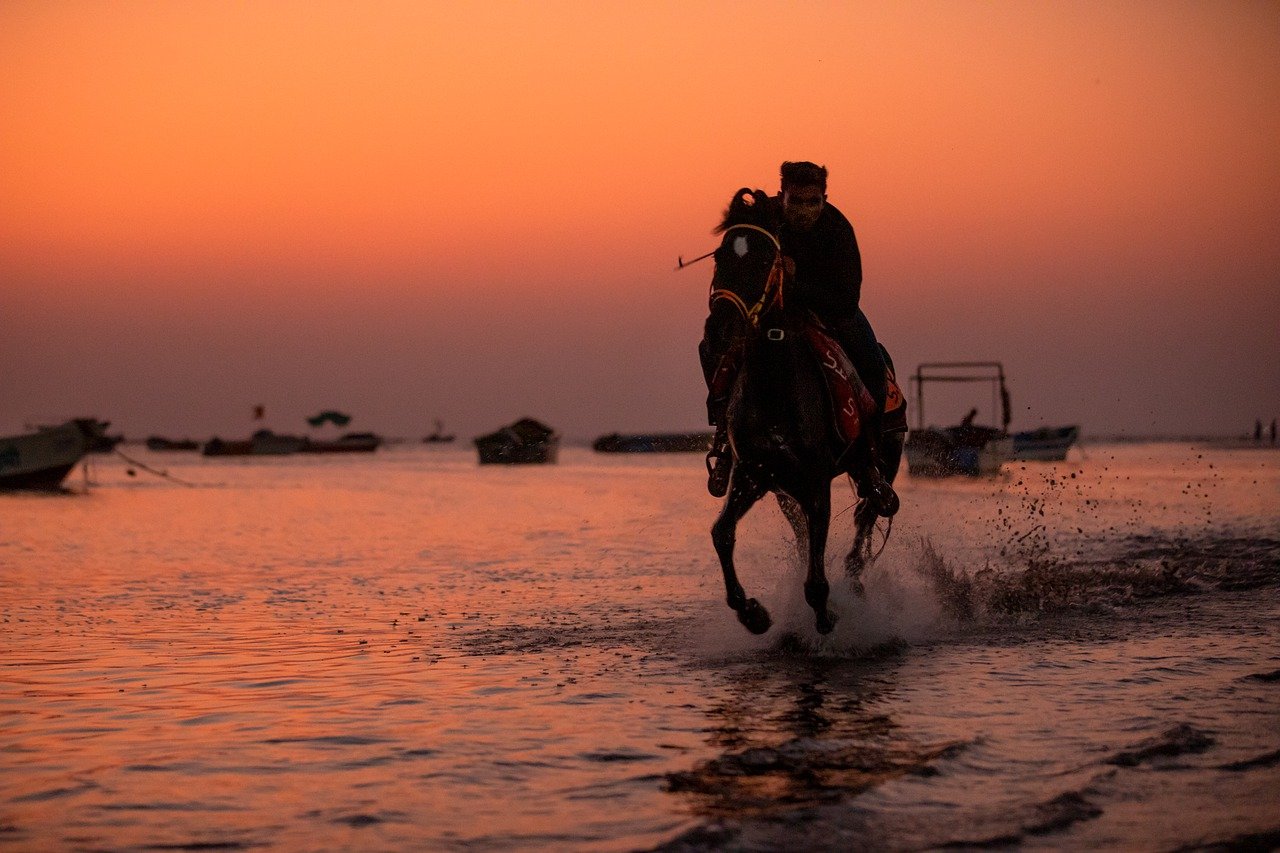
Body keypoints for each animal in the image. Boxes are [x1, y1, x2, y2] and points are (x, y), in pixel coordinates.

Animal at [706, 189, 906, 635]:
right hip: (784, 489)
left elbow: (816, 581)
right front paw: (753, 613)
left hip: (885, 456)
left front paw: (828, 615)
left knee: (870, 509)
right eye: (720, 255)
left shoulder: (816, 482)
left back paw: (855, 580)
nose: (720, 325)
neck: (775, 388)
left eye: (765, 258)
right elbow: (722, 533)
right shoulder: (754, 474)